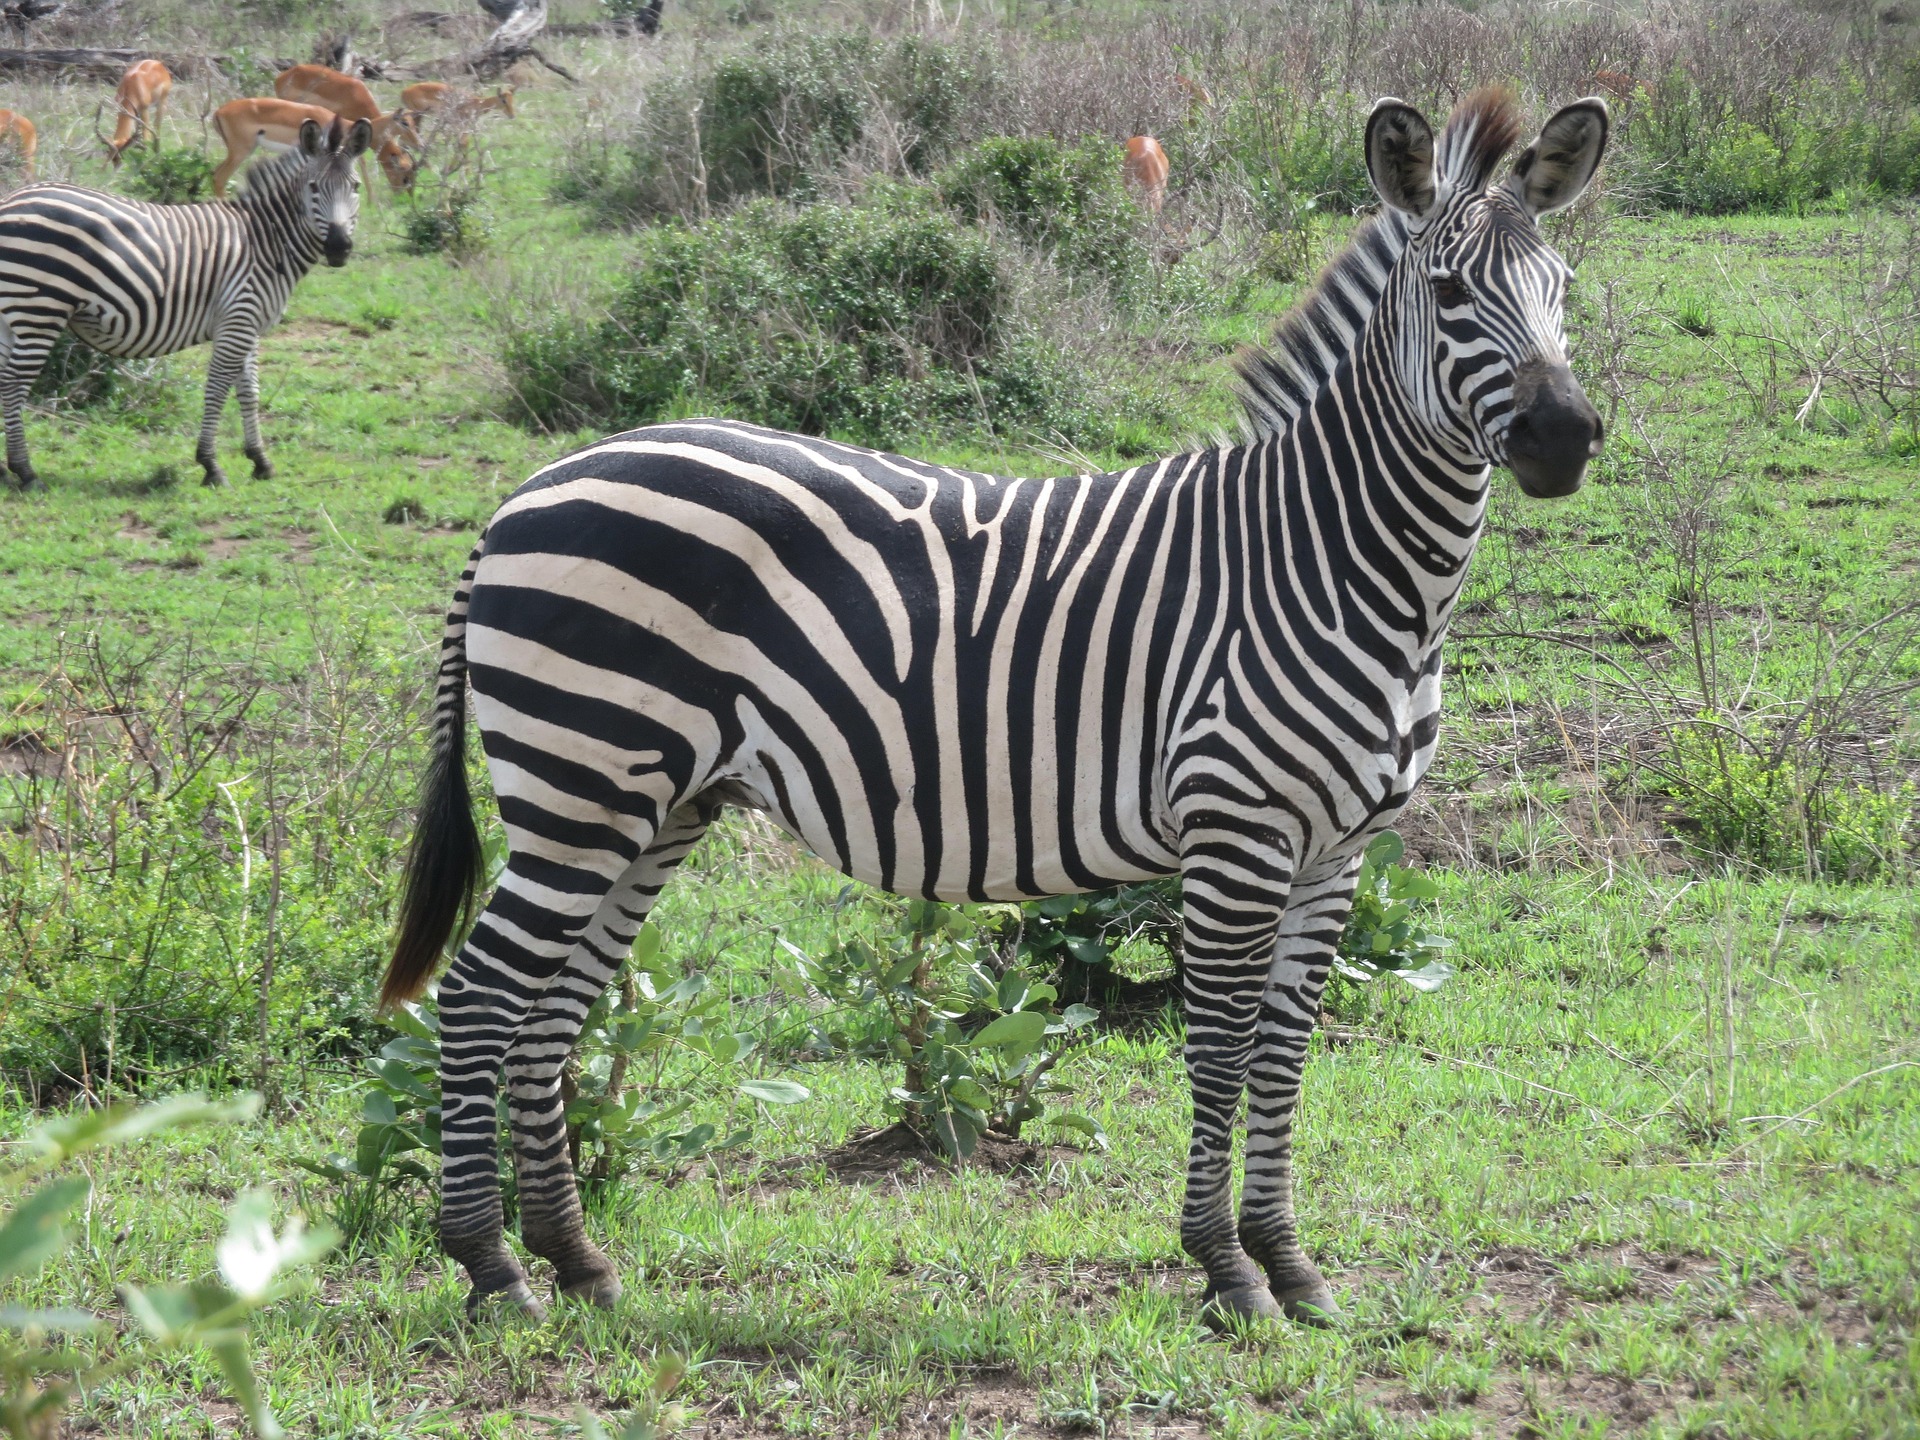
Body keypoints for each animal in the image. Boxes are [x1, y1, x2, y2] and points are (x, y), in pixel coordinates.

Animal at [0, 116, 370, 489]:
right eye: (313, 187)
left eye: (355, 187)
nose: (339, 248)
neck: (265, 241)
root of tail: (12, 198)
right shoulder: (238, 319)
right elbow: (218, 388)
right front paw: (211, 465)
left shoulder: (248, 324)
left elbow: (249, 390)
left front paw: (260, 460)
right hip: (39, 310)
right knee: (14, 383)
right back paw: (26, 471)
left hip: (10, 316)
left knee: (4, 380)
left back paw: (5, 470)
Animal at [384, 88, 1609, 1324]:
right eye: (1448, 292)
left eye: (1562, 289)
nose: (1565, 438)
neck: (1337, 562)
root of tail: (530, 489)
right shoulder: (1236, 831)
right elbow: (1220, 1050)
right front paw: (1226, 1269)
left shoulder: (1340, 848)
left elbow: (1282, 1055)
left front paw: (1291, 1264)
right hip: (580, 781)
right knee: (480, 995)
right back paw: (492, 1268)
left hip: (656, 802)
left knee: (553, 1009)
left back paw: (577, 1261)